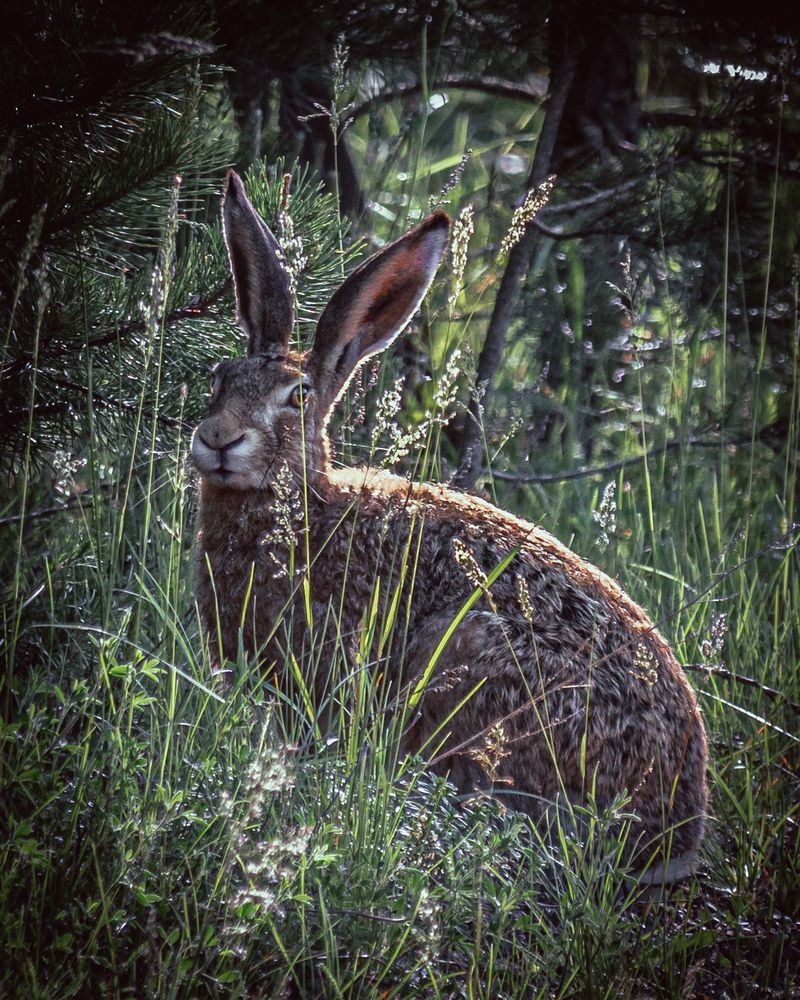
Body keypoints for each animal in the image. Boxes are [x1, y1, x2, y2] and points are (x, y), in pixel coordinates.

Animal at [191, 170, 707, 883]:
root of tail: (674, 831)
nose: (217, 439)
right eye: (218, 379)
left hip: (472, 667)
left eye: (297, 398)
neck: (300, 503)